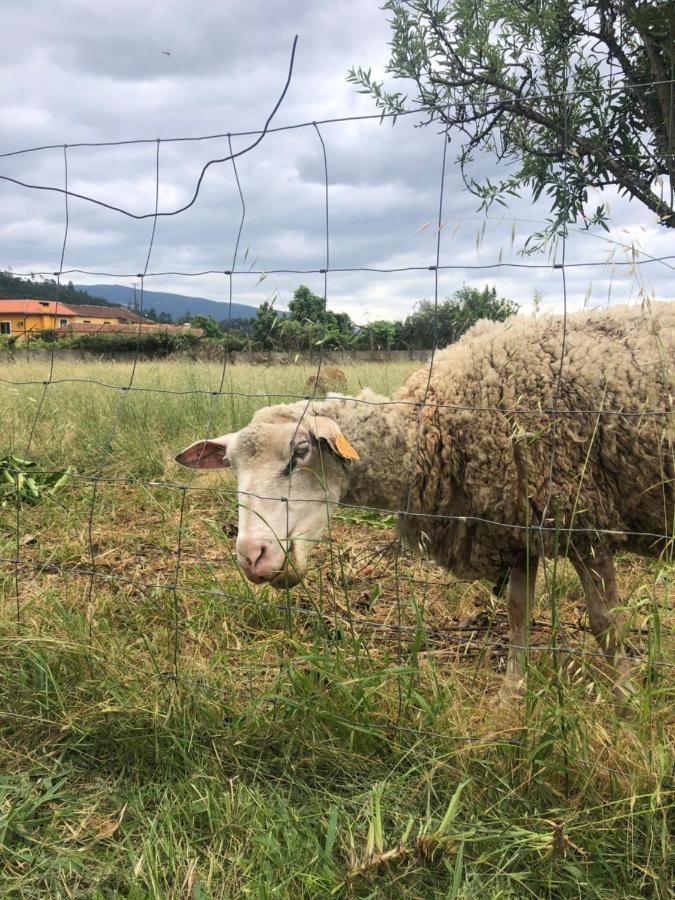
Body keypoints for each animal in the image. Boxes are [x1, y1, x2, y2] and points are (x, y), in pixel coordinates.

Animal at [177, 302, 672, 704]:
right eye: (232, 468)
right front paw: (511, 698)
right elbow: (518, 615)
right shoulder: (514, 524)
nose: (252, 556)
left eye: (300, 452)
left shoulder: (584, 519)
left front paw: (627, 703)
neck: (437, 428)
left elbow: (606, 623)